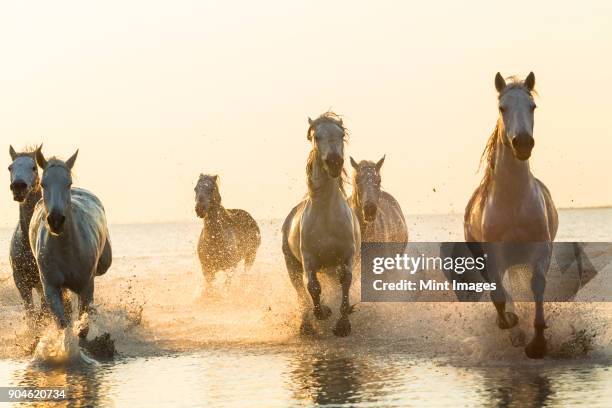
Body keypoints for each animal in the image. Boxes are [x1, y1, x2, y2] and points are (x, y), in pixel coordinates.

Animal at [29, 147, 112, 342]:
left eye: (68, 183)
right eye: (43, 184)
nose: (56, 220)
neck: (66, 250)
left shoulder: (86, 286)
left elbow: (83, 326)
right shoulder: (51, 288)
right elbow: (63, 324)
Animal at [280, 111, 360, 338]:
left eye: (341, 135)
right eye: (317, 136)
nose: (334, 162)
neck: (326, 215)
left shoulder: (346, 256)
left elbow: (345, 281)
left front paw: (343, 325)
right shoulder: (309, 260)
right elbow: (313, 287)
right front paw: (323, 311)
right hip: (292, 265)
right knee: (301, 292)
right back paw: (306, 326)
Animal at [464, 72, 560, 356]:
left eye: (533, 106)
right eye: (502, 107)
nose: (523, 143)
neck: (513, 202)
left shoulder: (541, 249)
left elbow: (537, 285)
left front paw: (538, 343)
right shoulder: (493, 255)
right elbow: (498, 294)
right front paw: (510, 325)